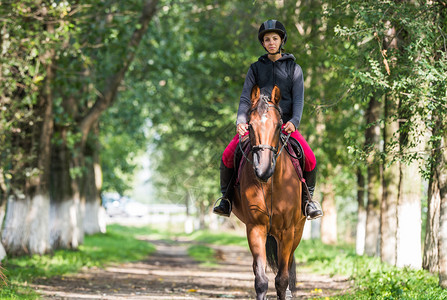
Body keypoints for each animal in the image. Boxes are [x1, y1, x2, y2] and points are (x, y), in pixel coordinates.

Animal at [231, 84, 308, 300]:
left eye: (278, 125)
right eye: (250, 125)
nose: (263, 169)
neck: (271, 184)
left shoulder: (287, 231)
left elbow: (281, 279)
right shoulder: (255, 228)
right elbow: (261, 280)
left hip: (298, 231)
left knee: (288, 266)